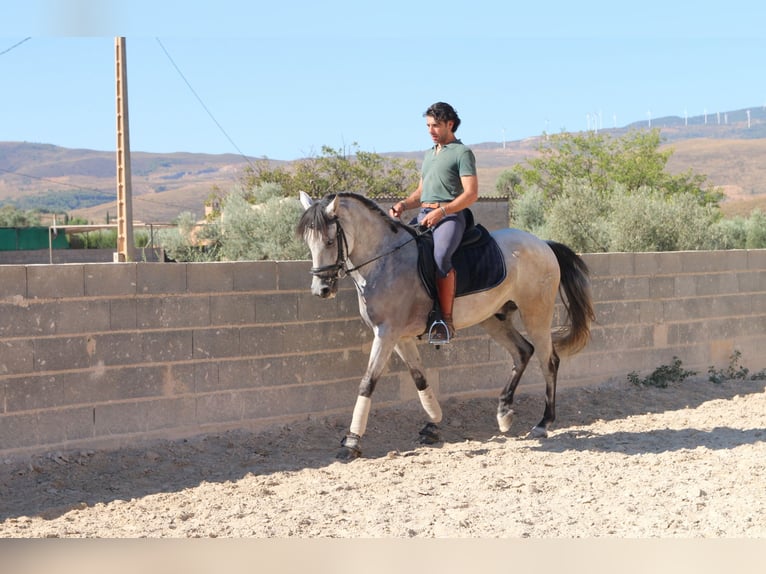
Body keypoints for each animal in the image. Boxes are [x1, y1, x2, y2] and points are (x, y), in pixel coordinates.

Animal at [297, 191, 595, 460]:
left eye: (330, 240)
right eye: (308, 242)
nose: (321, 289)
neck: (384, 261)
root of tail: (542, 243)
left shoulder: (386, 333)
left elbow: (367, 382)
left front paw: (351, 442)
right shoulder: (399, 337)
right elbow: (420, 378)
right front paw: (433, 423)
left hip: (536, 313)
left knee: (549, 361)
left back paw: (543, 423)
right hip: (494, 318)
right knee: (523, 351)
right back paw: (504, 412)